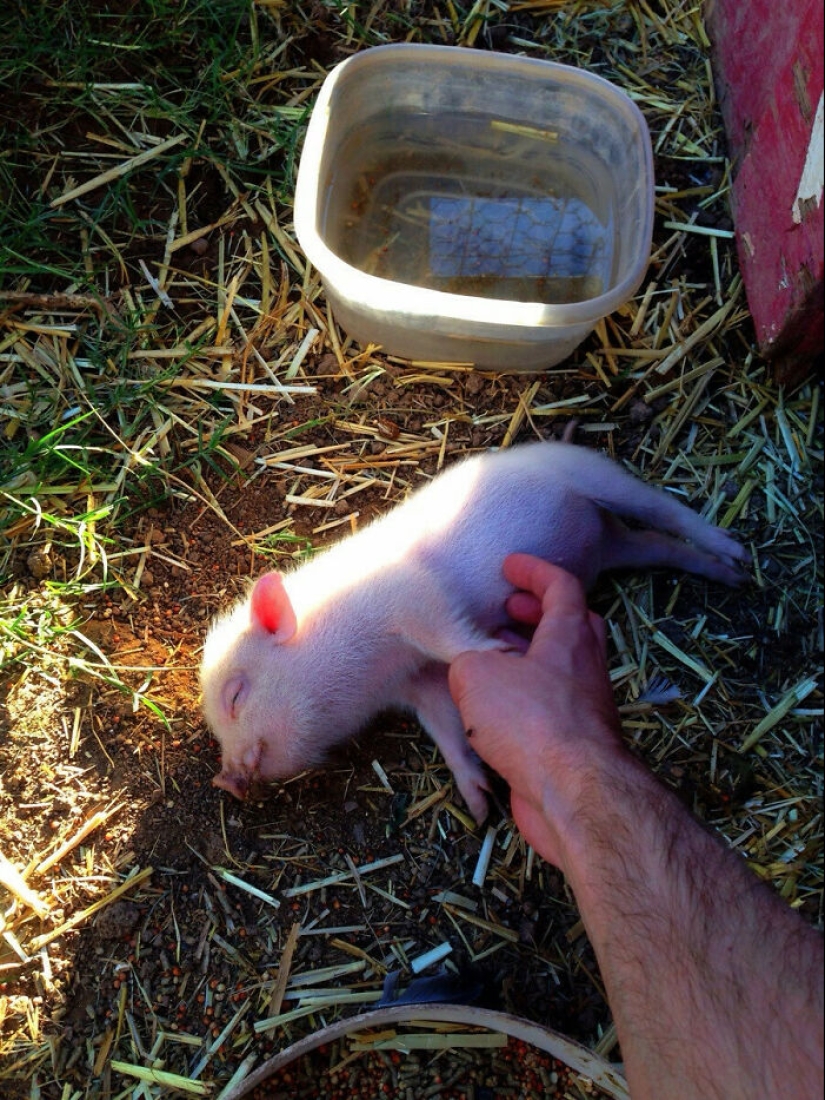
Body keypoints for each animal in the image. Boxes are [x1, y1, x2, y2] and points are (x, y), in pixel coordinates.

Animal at [200, 440, 749, 822]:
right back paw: (730, 574)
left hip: (592, 473)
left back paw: (736, 551)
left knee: (662, 508)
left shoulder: (409, 594)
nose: (223, 779)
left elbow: (450, 636)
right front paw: (481, 805)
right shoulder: (418, 682)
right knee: (656, 543)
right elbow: (443, 721)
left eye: (235, 696)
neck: (374, 667)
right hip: (616, 544)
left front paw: (502, 651)